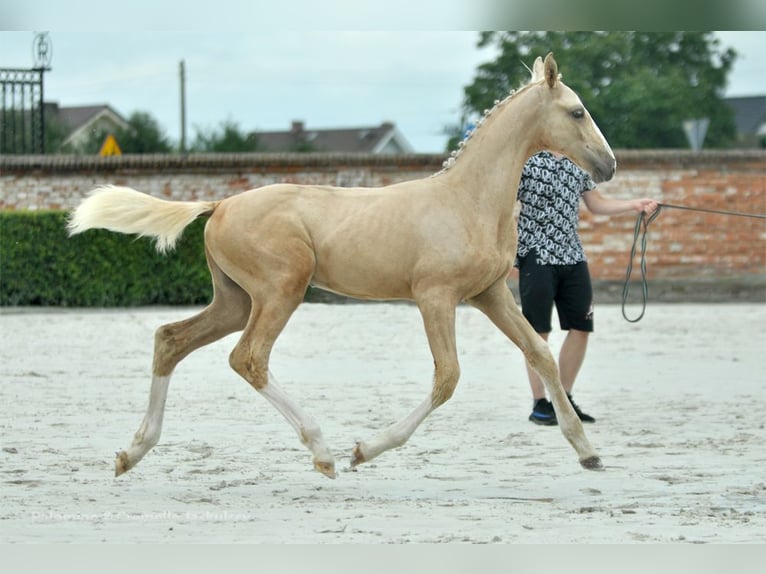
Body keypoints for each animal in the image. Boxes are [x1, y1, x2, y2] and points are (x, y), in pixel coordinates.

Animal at [69, 54, 616, 480]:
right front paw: (364, 451)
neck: (467, 200)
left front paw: (588, 453)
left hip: (235, 300)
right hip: (281, 289)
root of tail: (219, 204)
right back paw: (324, 452)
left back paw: (132, 453)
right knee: (248, 358)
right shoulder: (435, 297)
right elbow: (448, 378)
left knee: (171, 339)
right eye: (577, 111)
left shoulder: (491, 295)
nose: (608, 165)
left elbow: (541, 355)